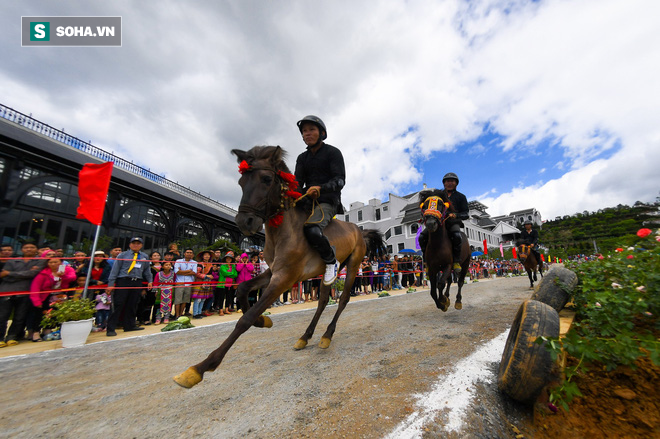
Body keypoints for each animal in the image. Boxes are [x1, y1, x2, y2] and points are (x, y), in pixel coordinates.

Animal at [174, 145, 386, 388]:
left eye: (266, 179)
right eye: (240, 182)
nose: (244, 222)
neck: (285, 231)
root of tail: (359, 230)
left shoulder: (285, 278)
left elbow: (245, 319)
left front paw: (200, 368)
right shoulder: (273, 271)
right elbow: (242, 289)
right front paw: (263, 320)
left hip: (353, 265)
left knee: (342, 299)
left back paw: (327, 335)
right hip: (326, 271)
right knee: (323, 300)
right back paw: (306, 336)